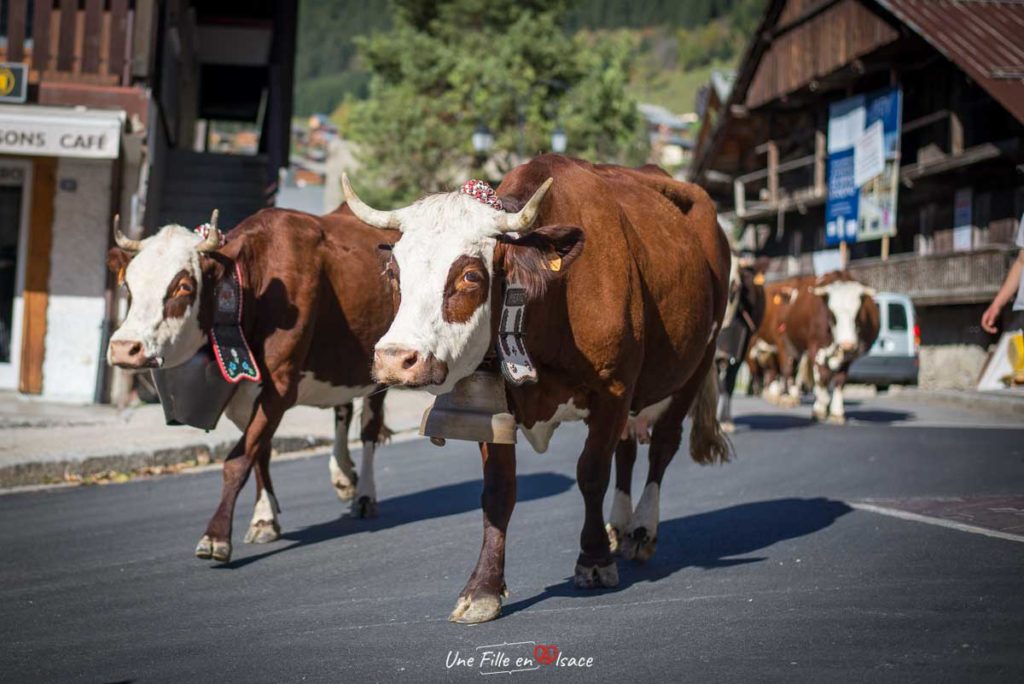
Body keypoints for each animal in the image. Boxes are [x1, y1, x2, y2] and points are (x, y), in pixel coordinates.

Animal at [104, 202, 399, 561]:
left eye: (183, 287)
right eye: (129, 287)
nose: (124, 348)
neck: (254, 290)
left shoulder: (280, 387)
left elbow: (238, 460)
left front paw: (216, 536)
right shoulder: (244, 394)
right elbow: (260, 452)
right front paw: (264, 520)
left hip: (382, 368)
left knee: (370, 428)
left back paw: (365, 496)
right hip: (342, 363)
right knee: (341, 409)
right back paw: (344, 477)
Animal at [342, 154, 729, 626]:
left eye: (470, 275)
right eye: (394, 272)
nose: (396, 359)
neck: (548, 304)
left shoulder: (614, 390)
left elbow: (591, 474)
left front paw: (594, 560)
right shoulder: (493, 408)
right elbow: (498, 491)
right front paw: (484, 589)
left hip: (696, 363)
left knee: (662, 448)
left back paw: (640, 529)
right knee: (627, 449)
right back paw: (619, 527)